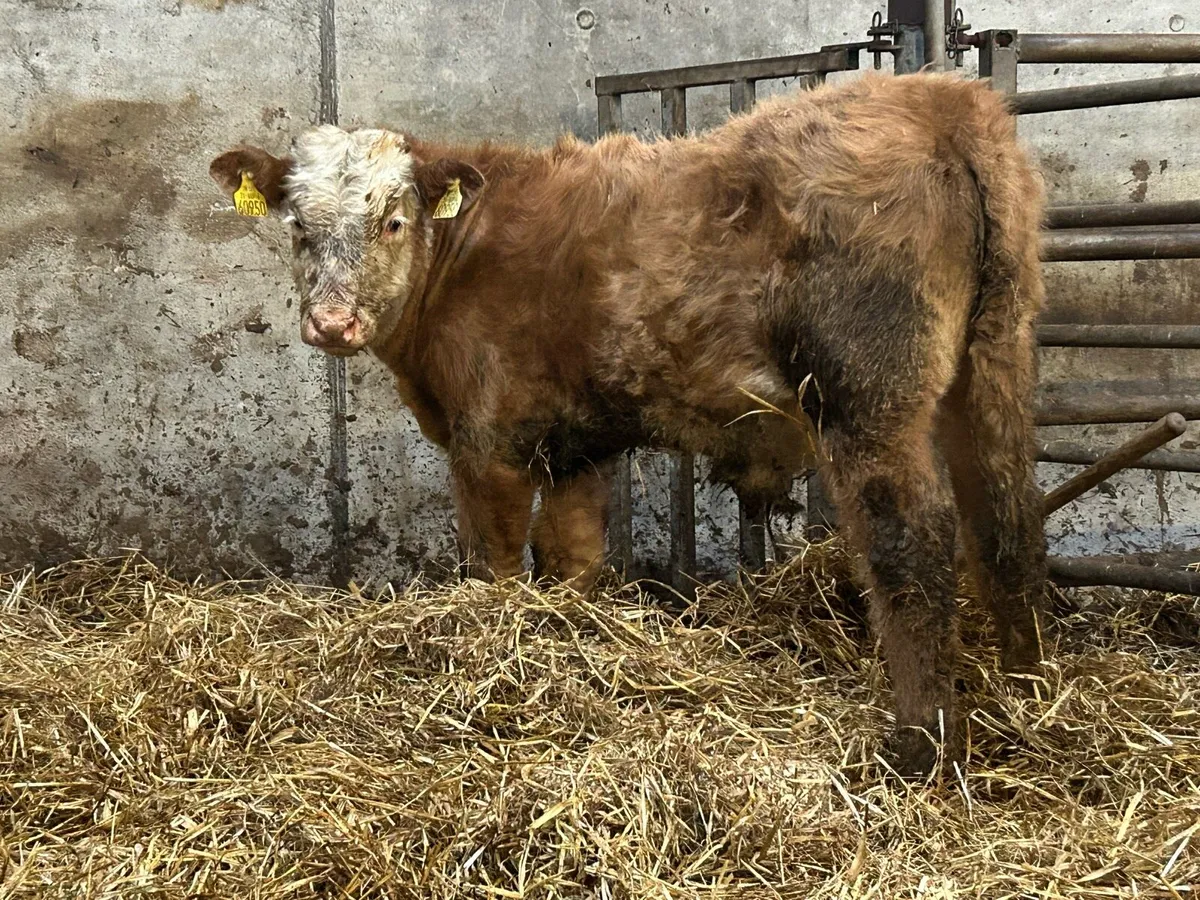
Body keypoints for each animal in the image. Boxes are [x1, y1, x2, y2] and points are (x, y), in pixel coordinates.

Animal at [210, 72, 1049, 776]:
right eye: (298, 227)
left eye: (390, 222)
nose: (332, 322)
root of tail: (937, 97)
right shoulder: (576, 446)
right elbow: (573, 561)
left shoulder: (488, 443)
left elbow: (496, 569)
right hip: (993, 360)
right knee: (1007, 519)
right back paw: (1027, 692)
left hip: (870, 395)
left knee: (913, 543)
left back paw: (922, 744)